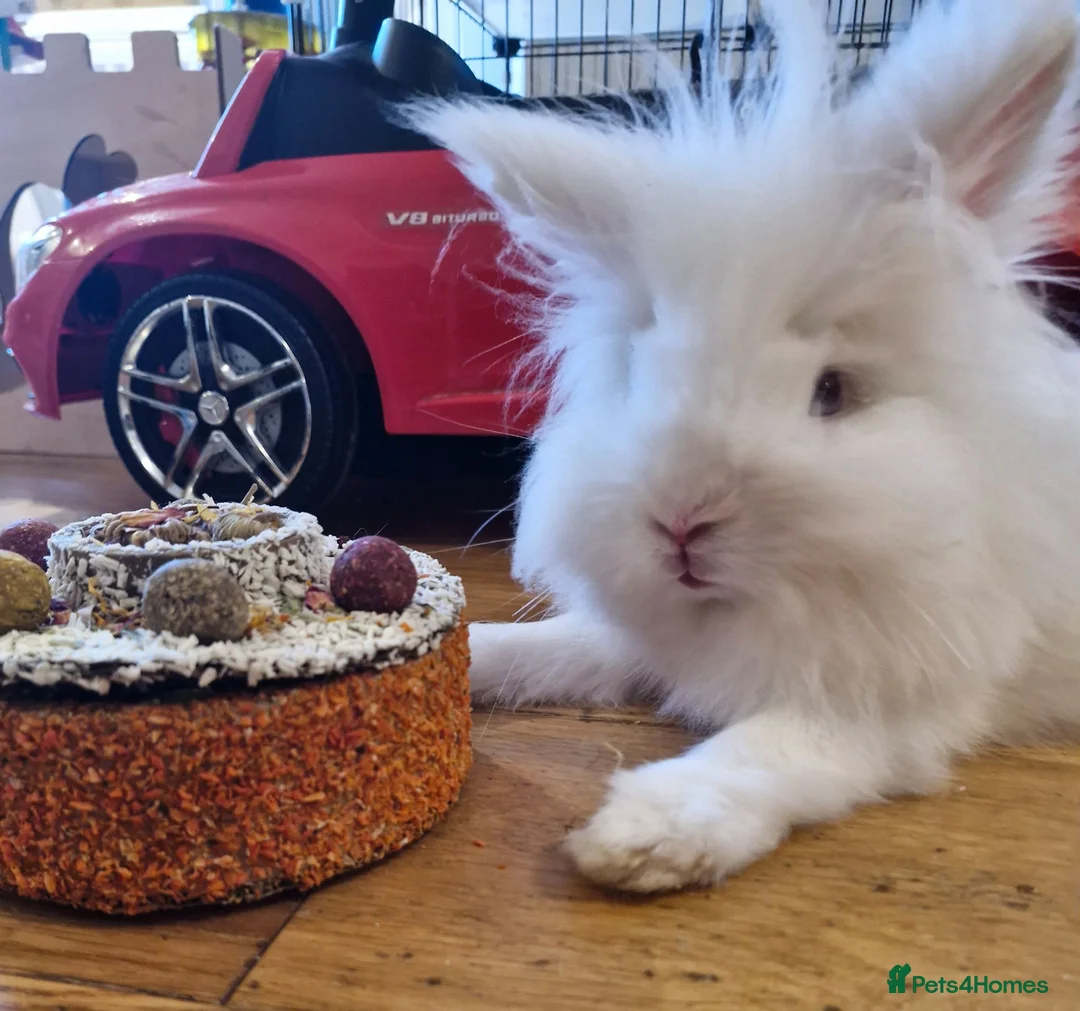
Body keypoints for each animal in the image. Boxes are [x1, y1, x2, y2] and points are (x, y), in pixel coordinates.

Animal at [409, 0, 1080, 893]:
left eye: (832, 390)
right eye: (642, 372)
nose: (681, 522)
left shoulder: (886, 703)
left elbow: (768, 747)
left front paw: (645, 835)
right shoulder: (635, 640)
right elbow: (552, 648)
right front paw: (470, 652)